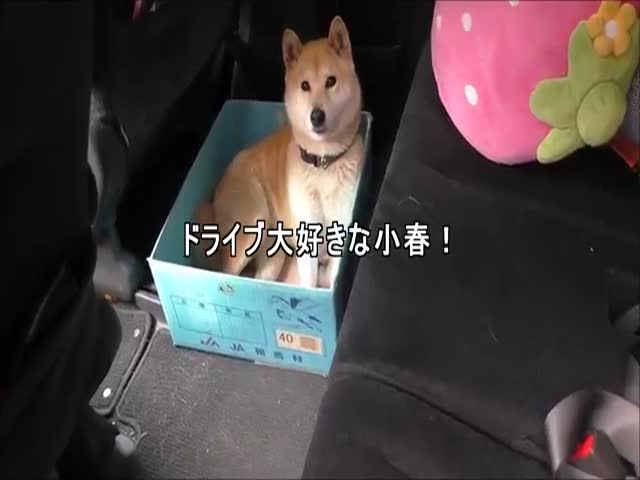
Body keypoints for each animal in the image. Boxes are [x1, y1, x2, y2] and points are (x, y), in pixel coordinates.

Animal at [195, 15, 362, 288]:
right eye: (304, 86)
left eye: (331, 81)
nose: (316, 116)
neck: (323, 164)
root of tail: (221, 181)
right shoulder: (308, 242)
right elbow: (311, 281)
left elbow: (331, 276)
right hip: (251, 227)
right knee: (226, 272)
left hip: (274, 257)